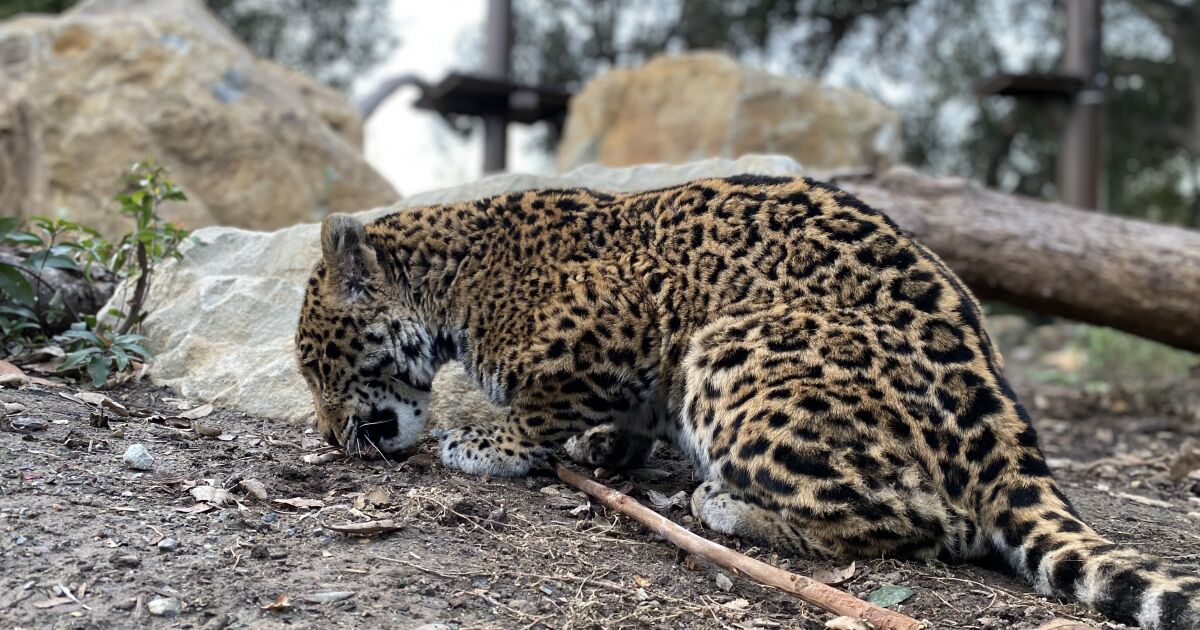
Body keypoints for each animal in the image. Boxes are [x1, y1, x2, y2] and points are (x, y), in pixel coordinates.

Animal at [294, 174, 1200, 629]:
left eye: (313, 365)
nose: (332, 439)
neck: (450, 280)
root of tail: (1008, 436)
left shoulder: (616, 328)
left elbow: (542, 405)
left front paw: (488, 444)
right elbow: (620, 418)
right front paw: (602, 450)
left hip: (735, 345)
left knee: (923, 524)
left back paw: (721, 503)